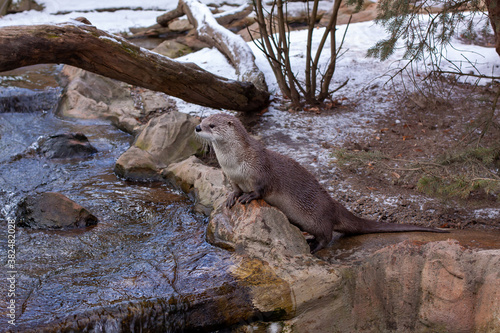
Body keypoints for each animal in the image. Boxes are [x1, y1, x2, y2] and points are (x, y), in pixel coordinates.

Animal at [194, 112, 446, 252]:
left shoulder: (260, 170)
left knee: (327, 236)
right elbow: (235, 188)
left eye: (212, 125)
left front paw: (248, 196)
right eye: (203, 120)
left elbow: (261, 189)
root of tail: (334, 206)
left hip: (317, 217)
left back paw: (313, 247)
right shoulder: (232, 176)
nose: (197, 127)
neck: (235, 162)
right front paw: (232, 197)